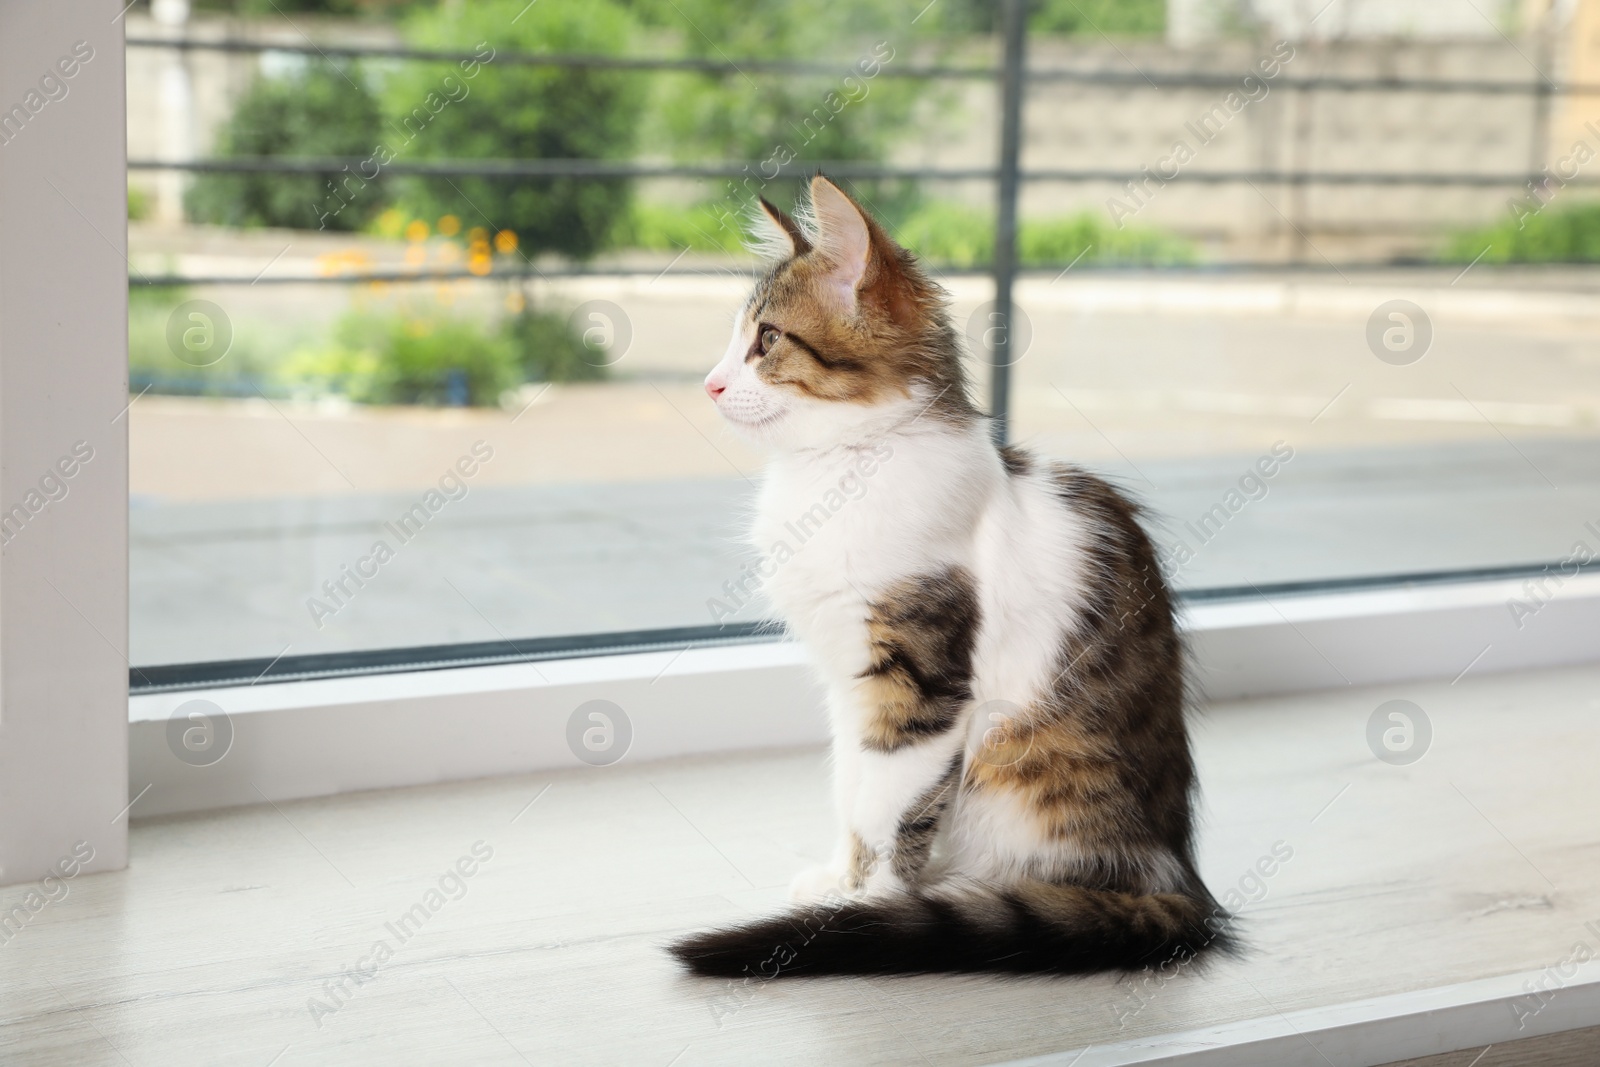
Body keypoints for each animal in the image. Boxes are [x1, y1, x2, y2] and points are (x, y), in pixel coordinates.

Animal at [668, 175, 1228, 979]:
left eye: (766, 340)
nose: (710, 385)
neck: (834, 474)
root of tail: (1180, 877)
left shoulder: (921, 684)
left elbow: (889, 808)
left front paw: (868, 908)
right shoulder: (848, 686)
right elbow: (852, 793)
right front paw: (838, 883)